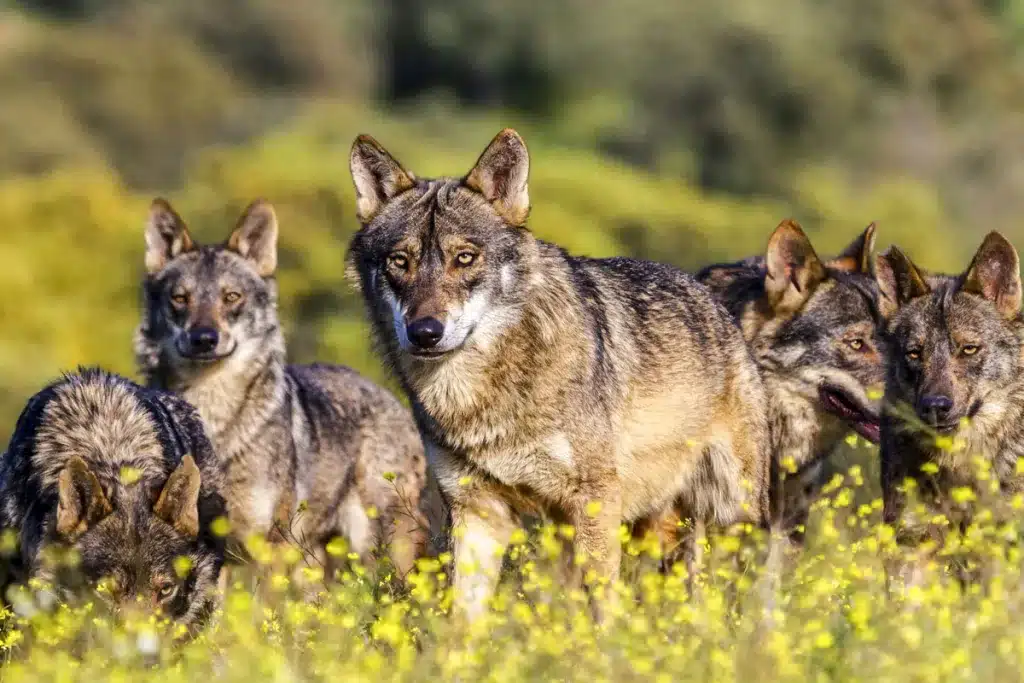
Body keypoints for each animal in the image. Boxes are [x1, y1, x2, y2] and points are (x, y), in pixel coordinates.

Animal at [135, 199, 428, 576]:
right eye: (180, 299)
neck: (211, 417)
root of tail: (392, 399)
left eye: (232, 297)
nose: (203, 339)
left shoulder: (268, 546)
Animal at [345, 128, 773, 619]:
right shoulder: (477, 511)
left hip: (732, 514)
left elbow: (603, 607)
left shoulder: (594, 501)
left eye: (465, 258)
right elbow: (463, 620)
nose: (425, 333)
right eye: (400, 261)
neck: (481, 395)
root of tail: (712, 298)